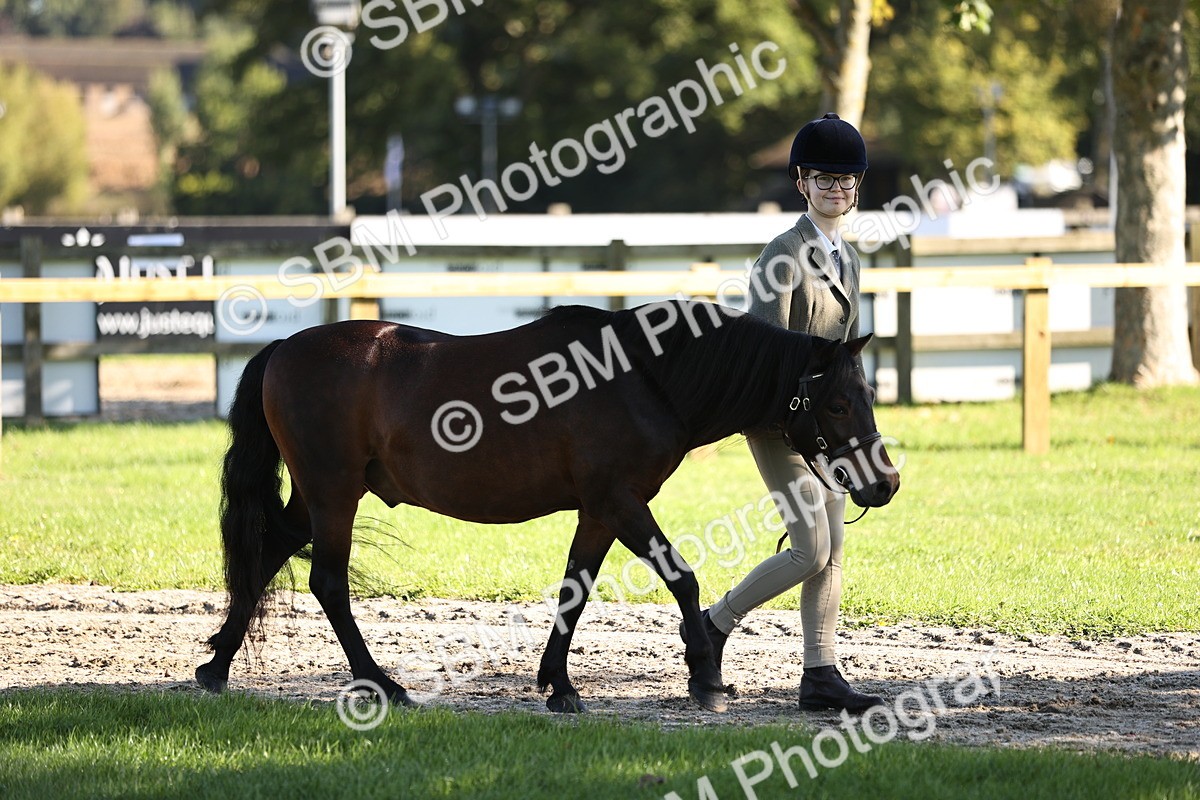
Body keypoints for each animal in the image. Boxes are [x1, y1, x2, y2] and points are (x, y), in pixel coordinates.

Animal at [195, 299, 899, 714]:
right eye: (839, 403)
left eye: (868, 395)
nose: (884, 483)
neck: (643, 376)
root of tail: (283, 348)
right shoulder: (620, 500)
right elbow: (682, 577)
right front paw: (704, 676)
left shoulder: (599, 511)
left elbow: (574, 590)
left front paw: (558, 685)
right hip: (333, 493)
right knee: (327, 583)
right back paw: (382, 684)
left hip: (317, 497)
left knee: (267, 555)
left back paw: (216, 665)